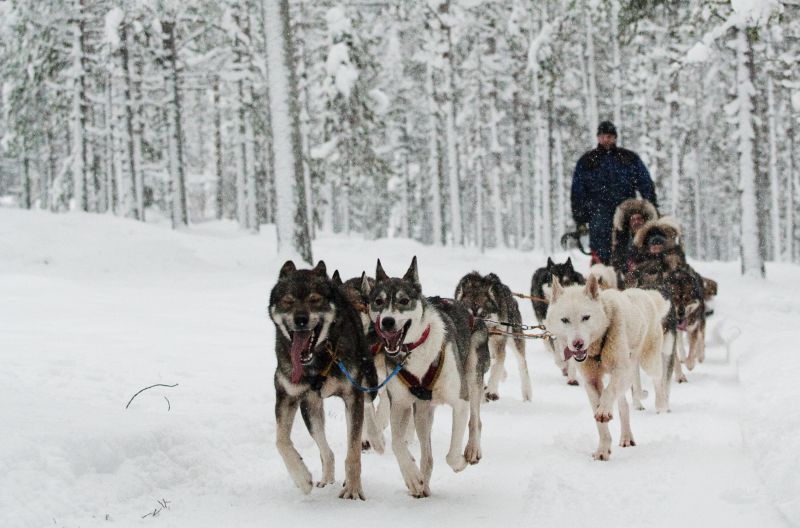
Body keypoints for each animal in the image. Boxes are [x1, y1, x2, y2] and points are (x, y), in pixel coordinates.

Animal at [548, 274, 672, 460]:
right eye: (565, 320)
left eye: (586, 317)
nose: (578, 344)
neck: (599, 344)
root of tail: (644, 293)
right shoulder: (591, 381)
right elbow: (600, 419)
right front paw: (603, 449)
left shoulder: (622, 370)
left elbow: (608, 392)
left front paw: (604, 410)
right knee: (624, 406)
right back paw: (627, 437)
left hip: (647, 361)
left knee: (658, 380)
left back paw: (661, 405)